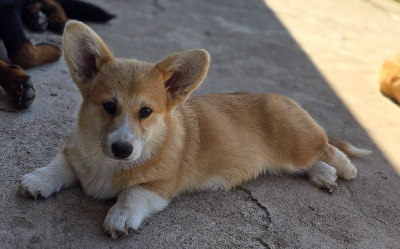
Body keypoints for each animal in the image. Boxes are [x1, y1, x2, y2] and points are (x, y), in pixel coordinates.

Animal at [18, 20, 368, 238]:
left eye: (146, 112)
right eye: (108, 106)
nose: (122, 149)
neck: (108, 164)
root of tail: (284, 99)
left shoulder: (159, 186)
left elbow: (132, 194)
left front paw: (120, 217)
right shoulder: (74, 152)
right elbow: (58, 164)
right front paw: (37, 179)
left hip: (297, 144)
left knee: (327, 147)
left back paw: (343, 168)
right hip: (287, 159)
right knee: (312, 161)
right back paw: (324, 175)